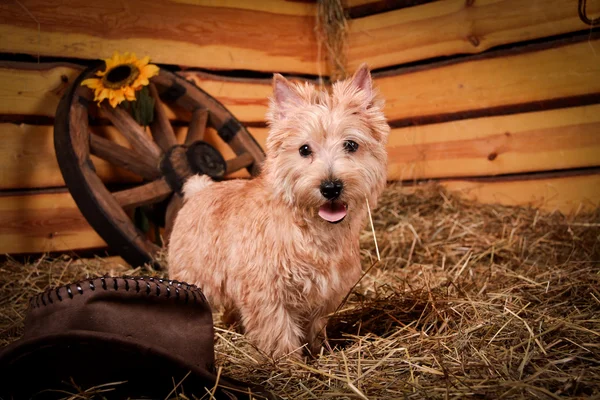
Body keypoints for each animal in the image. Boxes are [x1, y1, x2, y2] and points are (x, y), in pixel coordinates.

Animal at [166, 63, 390, 360]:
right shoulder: (267, 294)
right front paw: (289, 363)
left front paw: (319, 352)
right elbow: (278, 332)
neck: (311, 229)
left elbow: (315, 327)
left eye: (351, 145)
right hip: (192, 277)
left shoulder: (322, 295)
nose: (330, 187)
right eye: (304, 149)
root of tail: (198, 189)